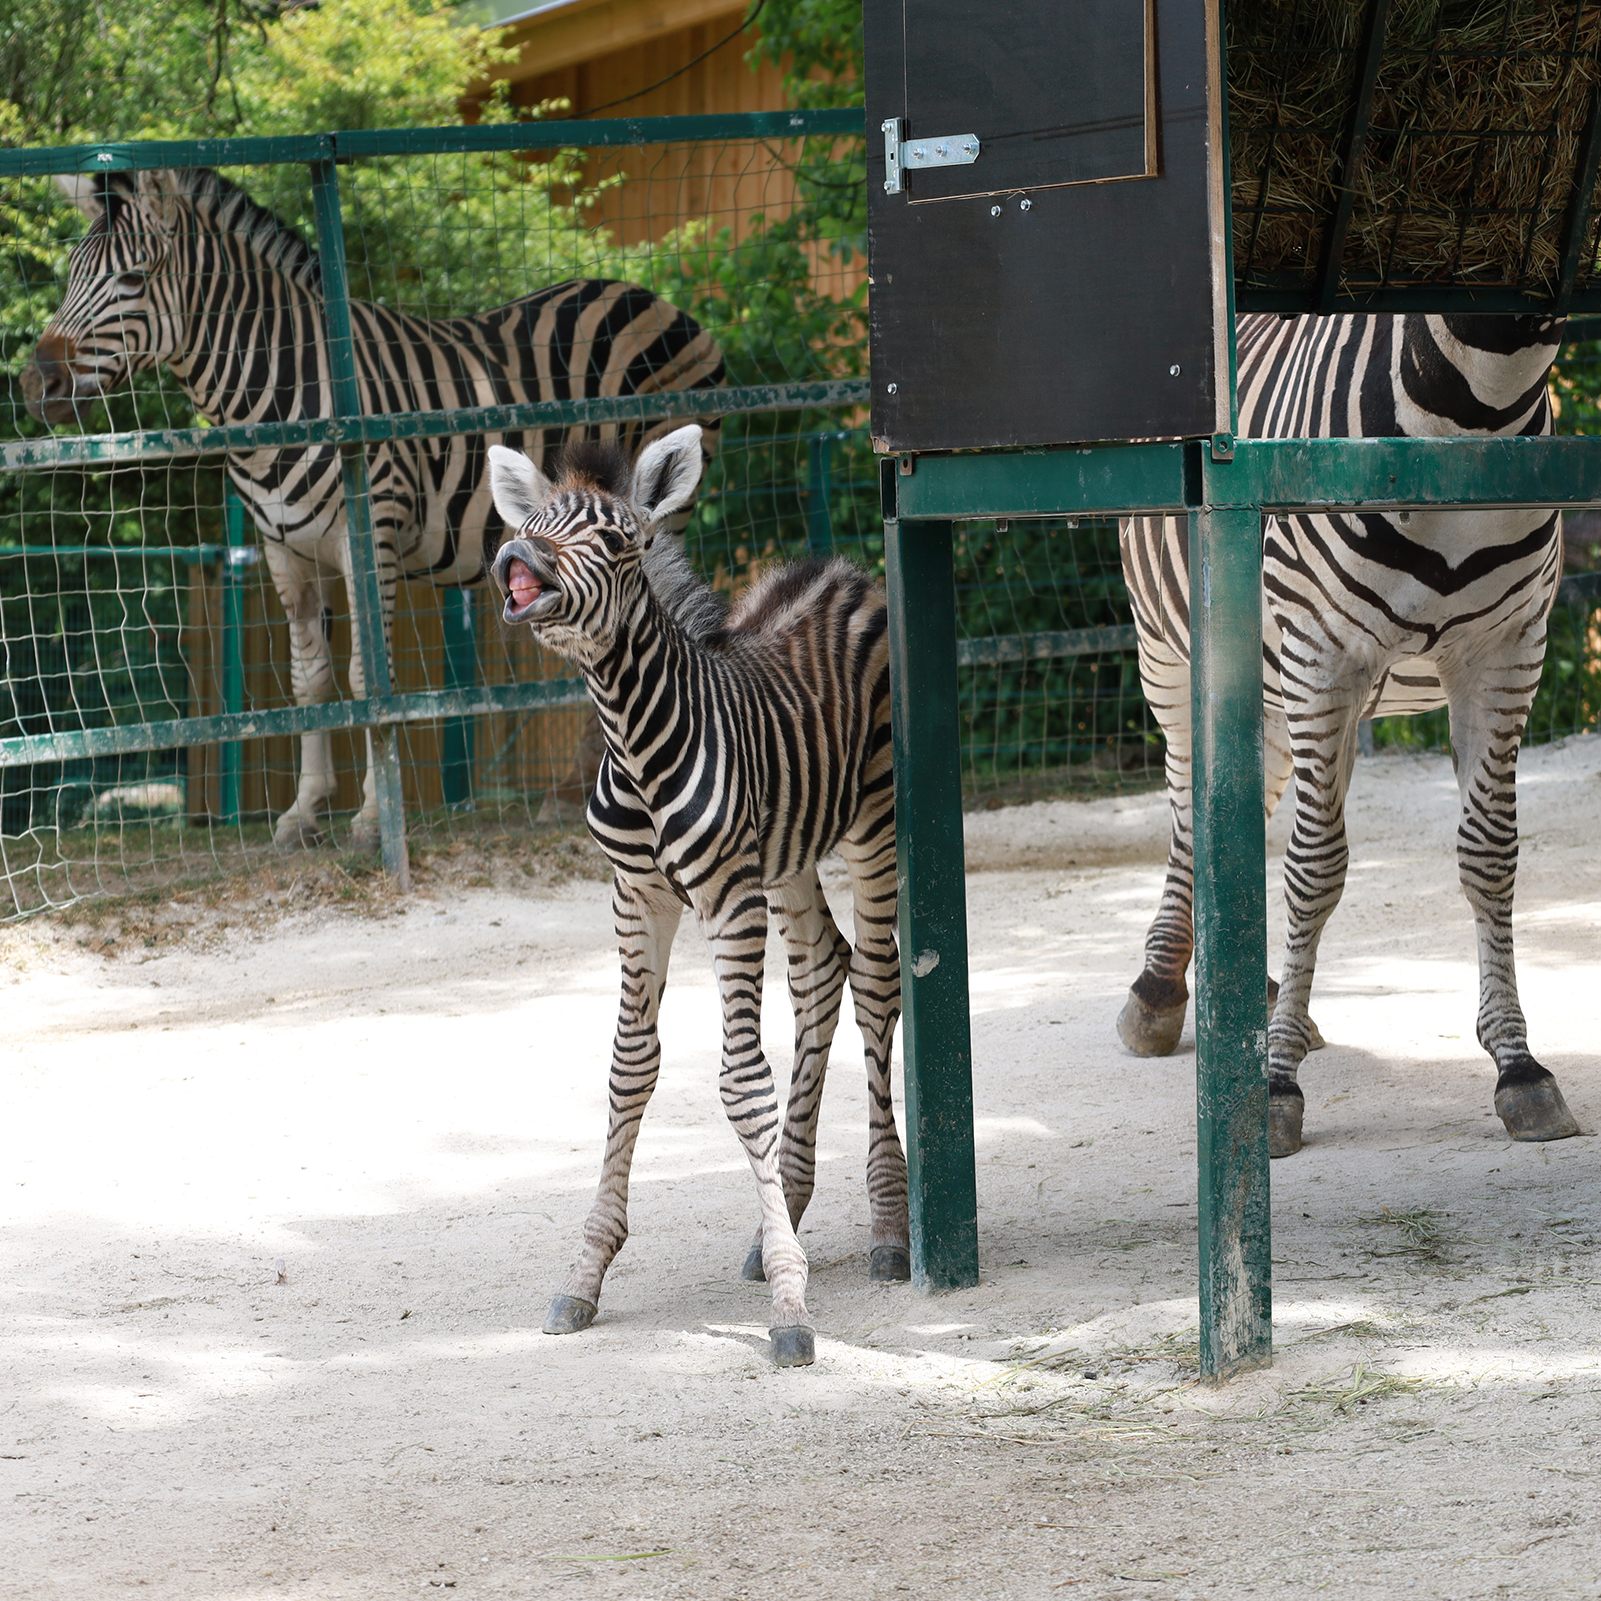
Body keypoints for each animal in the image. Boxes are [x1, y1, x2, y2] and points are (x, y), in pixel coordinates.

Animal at [21, 166, 723, 849]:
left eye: (133, 279)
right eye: (71, 272)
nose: (34, 383)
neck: (278, 391)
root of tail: (651, 296)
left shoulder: (370, 537)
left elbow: (368, 680)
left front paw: (369, 817)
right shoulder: (284, 550)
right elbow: (309, 680)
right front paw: (303, 813)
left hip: (657, 516)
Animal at [486, 423, 908, 1368]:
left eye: (618, 540)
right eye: (530, 523)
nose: (515, 560)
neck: (635, 740)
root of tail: (840, 569)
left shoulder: (726, 896)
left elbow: (741, 1081)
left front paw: (790, 1307)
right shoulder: (637, 895)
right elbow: (629, 1066)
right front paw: (585, 1273)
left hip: (872, 822)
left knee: (874, 982)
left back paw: (890, 1227)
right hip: (786, 856)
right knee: (822, 971)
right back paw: (784, 1203)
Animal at [1117, 311, 1581, 1158]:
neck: (1473, 413)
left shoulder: (1505, 651)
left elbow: (1489, 855)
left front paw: (1518, 1065)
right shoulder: (1322, 654)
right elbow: (1314, 868)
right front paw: (1274, 1083)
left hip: (1281, 697)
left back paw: (1263, 997)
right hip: (1169, 650)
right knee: (1189, 810)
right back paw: (1162, 991)